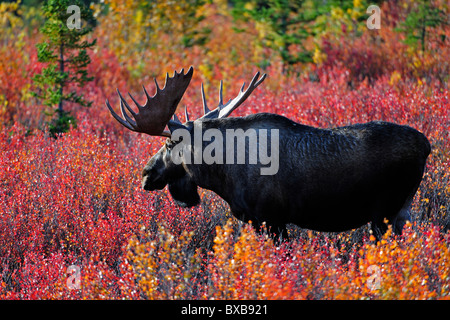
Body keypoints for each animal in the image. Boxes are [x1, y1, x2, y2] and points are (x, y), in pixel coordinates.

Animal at [106, 67, 432, 240]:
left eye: (171, 144)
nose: (147, 173)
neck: (222, 174)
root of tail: (427, 146)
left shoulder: (271, 218)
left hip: (385, 212)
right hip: (402, 212)